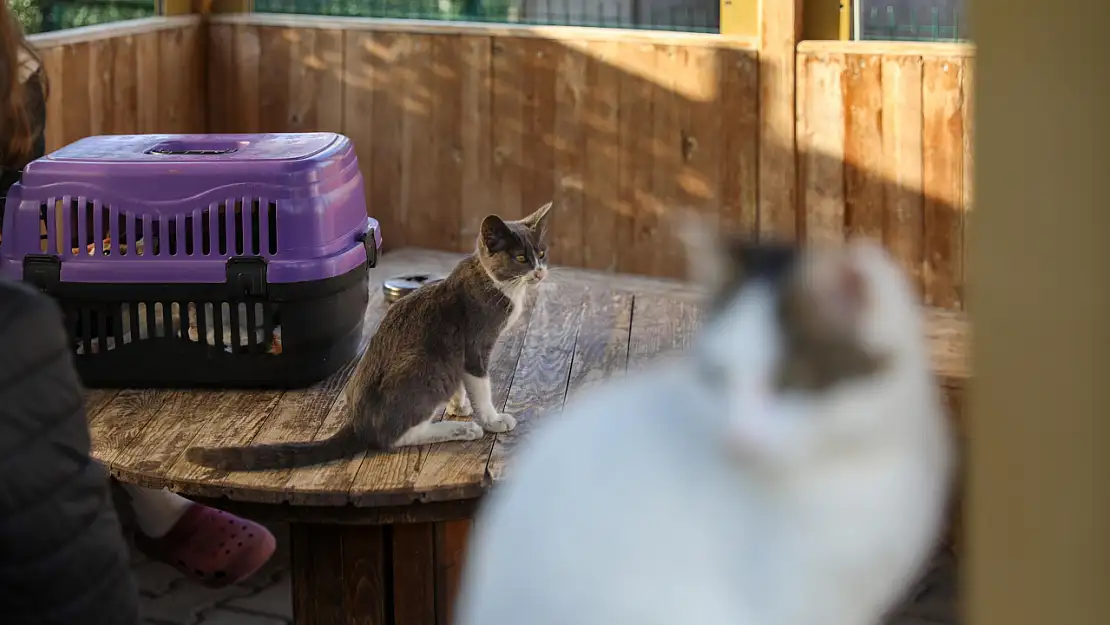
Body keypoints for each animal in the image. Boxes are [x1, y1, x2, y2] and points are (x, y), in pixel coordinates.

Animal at [189, 203, 555, 472]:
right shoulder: (474, 344)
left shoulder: (463, 356)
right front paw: (491, 419)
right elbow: (480, 384)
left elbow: (463, 384)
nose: (540, 272)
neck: (499, 285)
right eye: (520, 258)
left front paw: (459, 404)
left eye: (541, 253)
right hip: (427, 366)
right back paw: (459, 431)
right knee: (393, 437)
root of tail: (359, 423)